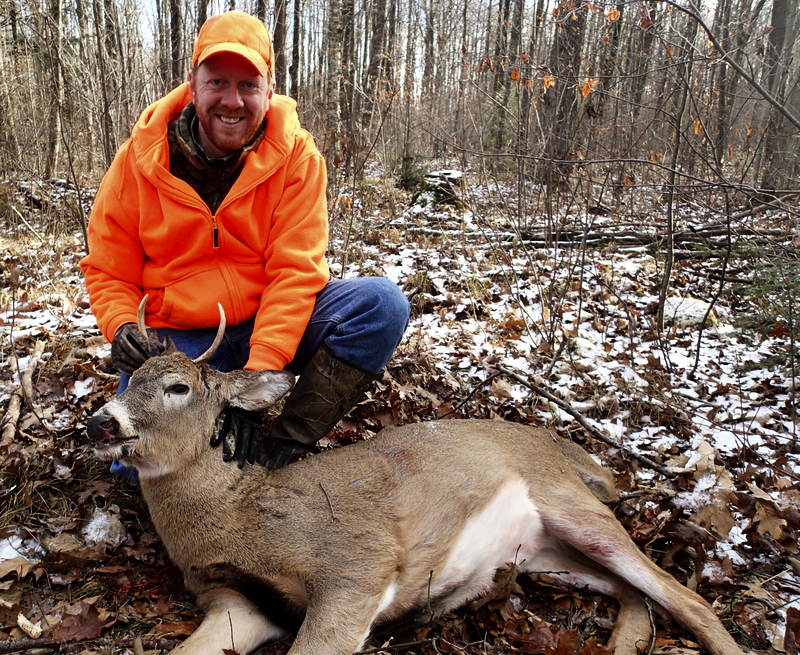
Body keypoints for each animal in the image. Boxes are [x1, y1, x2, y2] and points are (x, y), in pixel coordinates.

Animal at [84, 300, 748, 655]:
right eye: (129, 379)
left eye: (178, 387)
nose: (100, 421)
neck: (240, 514)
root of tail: (553, 442)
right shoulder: (233, 602)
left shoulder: (355, 562)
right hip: (543, 554)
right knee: (635, 593)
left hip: (571, 505)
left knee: (686, 597)